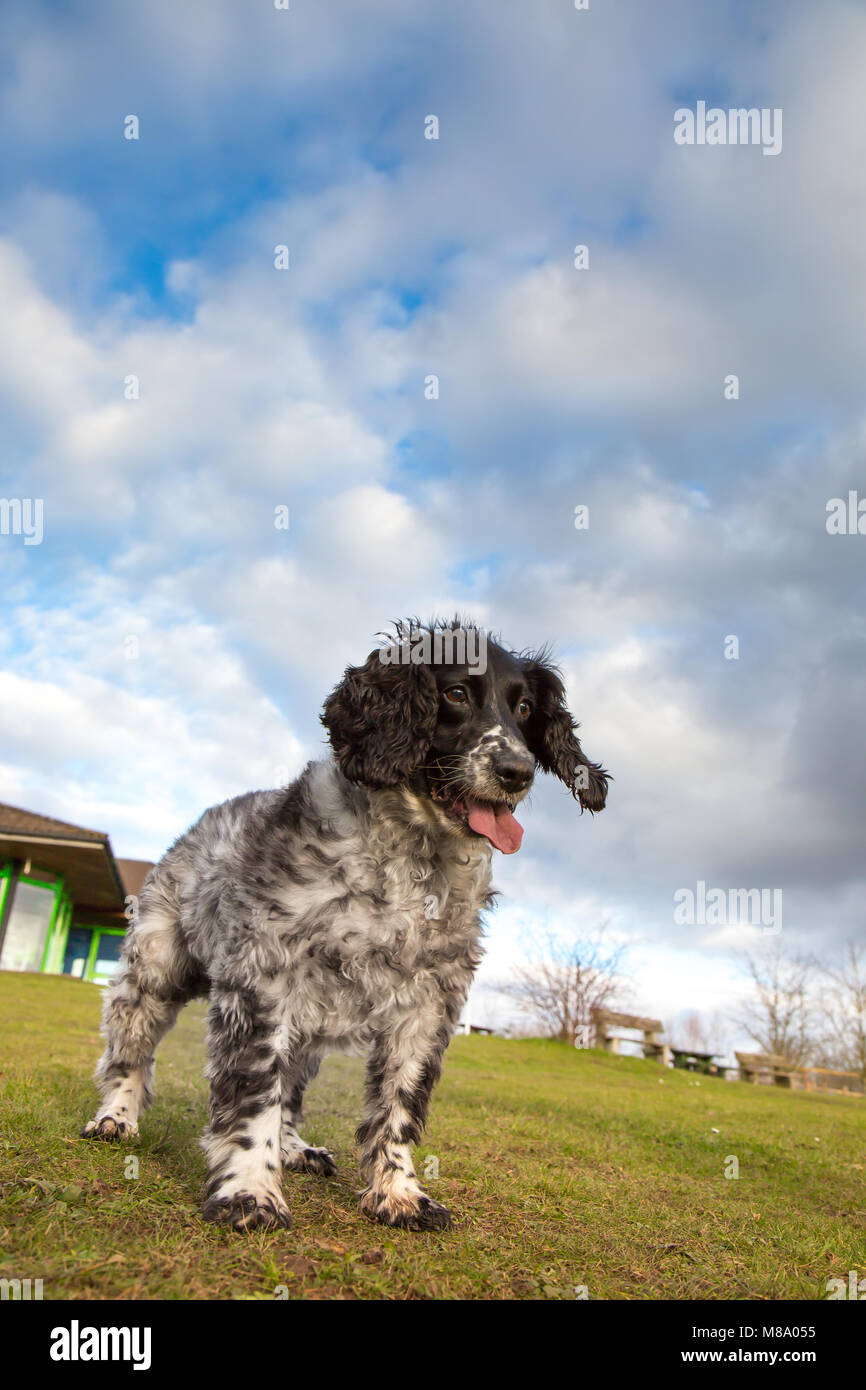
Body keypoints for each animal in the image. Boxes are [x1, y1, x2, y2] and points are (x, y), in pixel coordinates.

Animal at [83, 625, 608, 1234]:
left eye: (524, 708)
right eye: (455, 693)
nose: (517, 772)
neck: (406, 866)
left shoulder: (426, 1005)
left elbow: (397, 1108)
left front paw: (399, 1193)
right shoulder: (262, 978)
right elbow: (253, 1094)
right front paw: (250, 1192)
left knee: (290, 1090)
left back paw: (295, 1148)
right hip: (155, 969)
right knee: (130, 1052)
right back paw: (115, 1118)